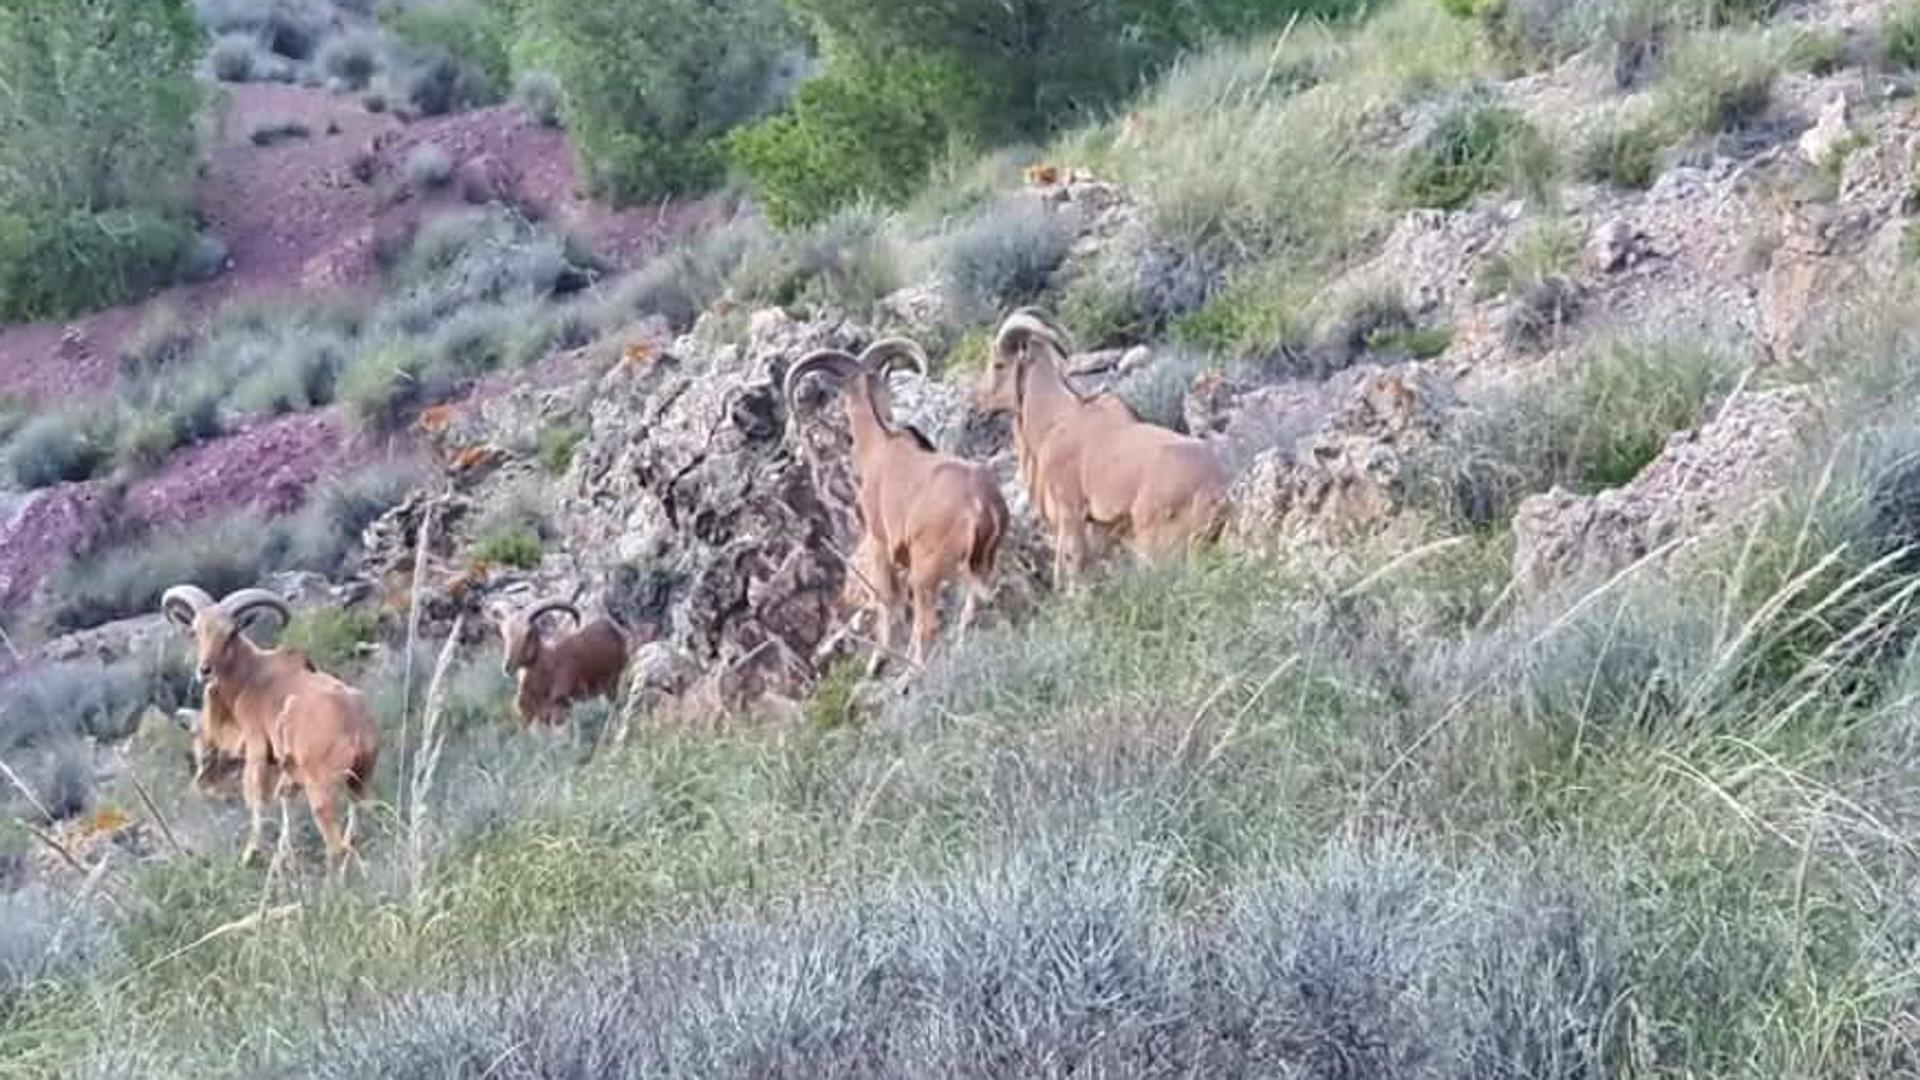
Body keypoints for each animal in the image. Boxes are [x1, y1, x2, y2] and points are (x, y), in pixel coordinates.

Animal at [165, 580, 378, 864]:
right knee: (354, 820)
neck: (250, 677)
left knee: (334, 842)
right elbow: (284, 798)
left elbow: (256, 798)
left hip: (321, 787)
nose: (205, 670)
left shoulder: (255, 742)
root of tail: (354, 723)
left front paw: (251, 853)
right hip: (361, 778)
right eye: (194, 631)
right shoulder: (288, 767)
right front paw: (281, 855)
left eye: (231, 632)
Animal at [783, 336, 1013, 672]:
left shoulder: (879, 542)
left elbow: (885, 601)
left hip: (927, 570)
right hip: (982, 559)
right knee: (975, 603)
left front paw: (877, 660)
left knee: (928, 623)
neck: (880, 443)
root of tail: (980, 503)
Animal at [975, 307, 1228, 584]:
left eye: (999, 364)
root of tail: (1216, 491)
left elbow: (1075, 563)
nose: (979, 402)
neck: (1056, 420)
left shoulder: (1071, 511)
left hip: (1155, 542)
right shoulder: (1101, 525)